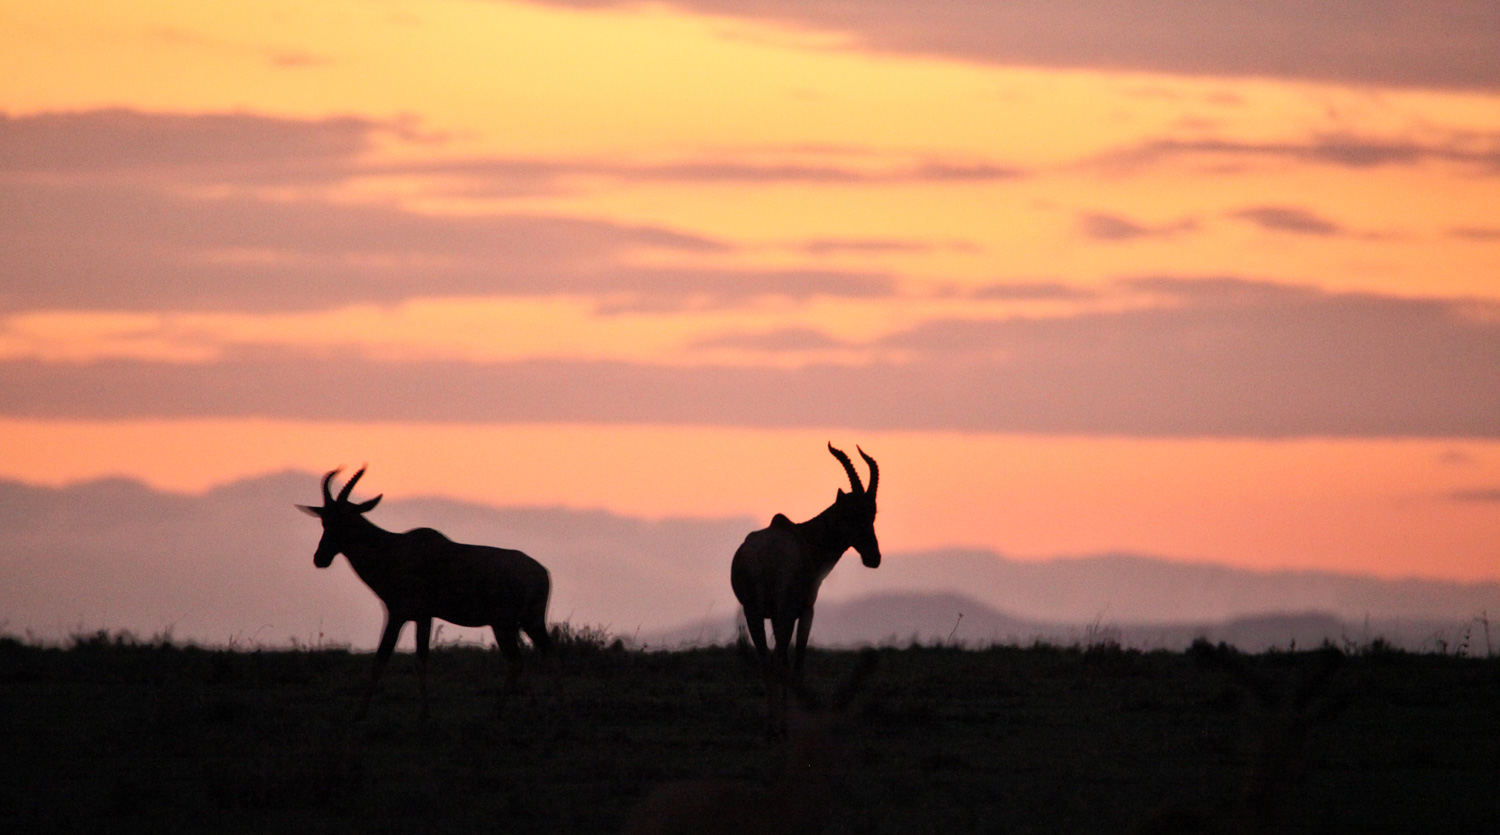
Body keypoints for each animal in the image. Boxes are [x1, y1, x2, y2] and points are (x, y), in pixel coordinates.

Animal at [297, 464, 552, 719]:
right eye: (324, 519)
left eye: (345, 518)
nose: (320, 558)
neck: (396, 549)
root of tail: (540, 572)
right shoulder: (419, 617)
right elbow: (407, 660)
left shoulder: (402, 616)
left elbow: (392, 660)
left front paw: (364, 713)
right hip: (528, 622)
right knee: (545, 652)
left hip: (504, 624)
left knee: (519, 660)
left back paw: (498, 712)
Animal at [729, 443, 876, 734]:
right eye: (853, 514)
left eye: (873, 512)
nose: (873, 557)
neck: (803, 536)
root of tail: (767, 557)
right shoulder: (806, 610)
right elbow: (798, 663)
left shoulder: (773, 615)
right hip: (782, 613)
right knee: (781, 663)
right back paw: (780, 728)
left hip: (754, 612)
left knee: (767, 661)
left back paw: (770, 729)